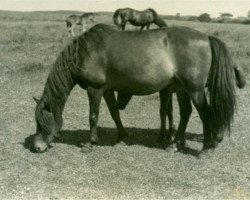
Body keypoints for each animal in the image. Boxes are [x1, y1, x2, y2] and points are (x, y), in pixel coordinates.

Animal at [30, 23, 244, 155]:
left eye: (42, 123)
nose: (37, 147)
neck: (85, 52)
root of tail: (206, 37)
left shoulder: (94, 89)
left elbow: (93, 117)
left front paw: (90, 143)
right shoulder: (107, 90)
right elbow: (115, 113)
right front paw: (122, 137)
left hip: (195, 90)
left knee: (206, 114)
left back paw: (206, 148)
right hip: (184, 89)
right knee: (185, 113)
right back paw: (174, 144)